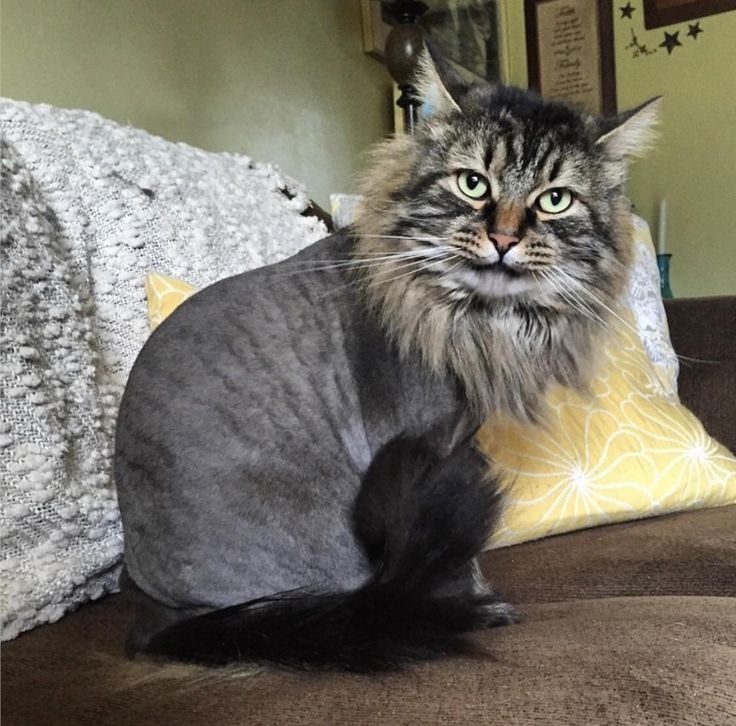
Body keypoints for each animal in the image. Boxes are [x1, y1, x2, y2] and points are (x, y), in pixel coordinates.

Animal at [113, 48, 656, 672]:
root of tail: (154, 622)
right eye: (473, 185)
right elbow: (456, 559)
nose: (503, 239)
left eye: (554, 199)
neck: (475, 321)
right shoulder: (423, 444)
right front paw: (479, 600)